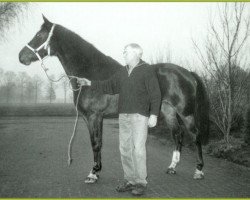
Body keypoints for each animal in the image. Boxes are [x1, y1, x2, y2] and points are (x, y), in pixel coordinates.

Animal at [18, 16, 209, 183]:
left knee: (195, 135)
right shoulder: (91, 118)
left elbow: (96, 143)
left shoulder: (95, 116)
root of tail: (187, 73)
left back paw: (199, 170)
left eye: (39, 35)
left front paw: (93, 173)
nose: (21, 57)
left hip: (186, 113)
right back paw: (172, 167)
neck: (91, 73)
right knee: (178, 134)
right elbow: (97, 142)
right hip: (168, 111)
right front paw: (97, 170)